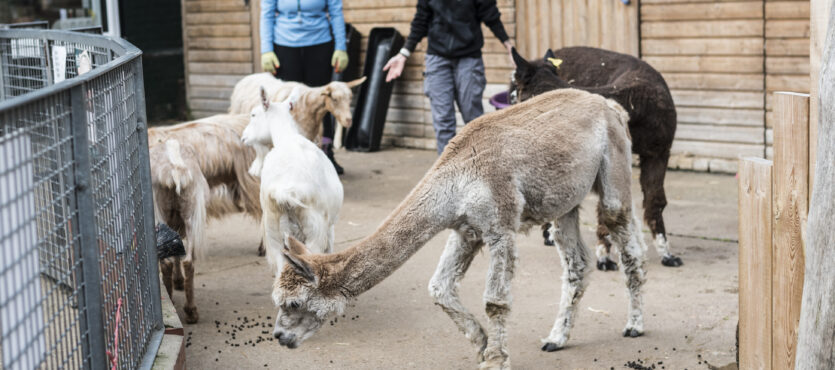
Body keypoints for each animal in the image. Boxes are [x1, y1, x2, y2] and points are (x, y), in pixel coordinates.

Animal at [149, 114, 262, 322]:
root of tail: (174, 168)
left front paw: (177, 282)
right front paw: (179, 281)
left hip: (169, 212)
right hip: (191, 211)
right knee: (187, 261)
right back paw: (190, 310)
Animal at [243, 88, 344, 276]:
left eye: (253, 114)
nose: (244, 137)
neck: (287, 137)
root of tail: (285, 191)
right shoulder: (329, 228)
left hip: (273, 233)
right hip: (314, 230)